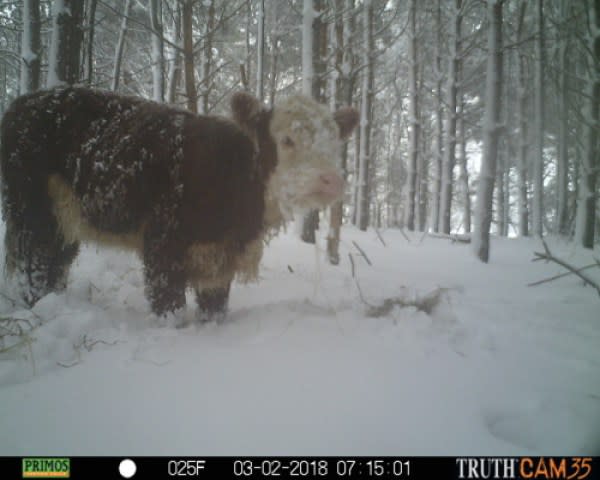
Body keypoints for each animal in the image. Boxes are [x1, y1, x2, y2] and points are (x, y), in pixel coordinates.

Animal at [0, 88, 356, 322]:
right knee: (34, 264)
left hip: (65, 220)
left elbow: (215, 303)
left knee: (56, 262)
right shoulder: (163, 242)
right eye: (287, 140)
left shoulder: (217, 254)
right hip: (33, 211)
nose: (331, 180)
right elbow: (168, 302)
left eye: (335, 142)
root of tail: (21, 104)